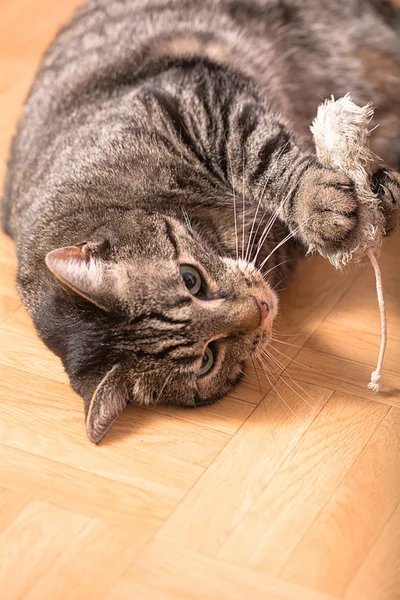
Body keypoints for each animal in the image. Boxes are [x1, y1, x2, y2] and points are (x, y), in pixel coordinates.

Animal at [2, 0, 400, 440]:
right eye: (208, 358)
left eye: (190, 279)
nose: (260, 309)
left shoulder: (193, 102)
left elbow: (260, 159)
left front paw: (316, 201)